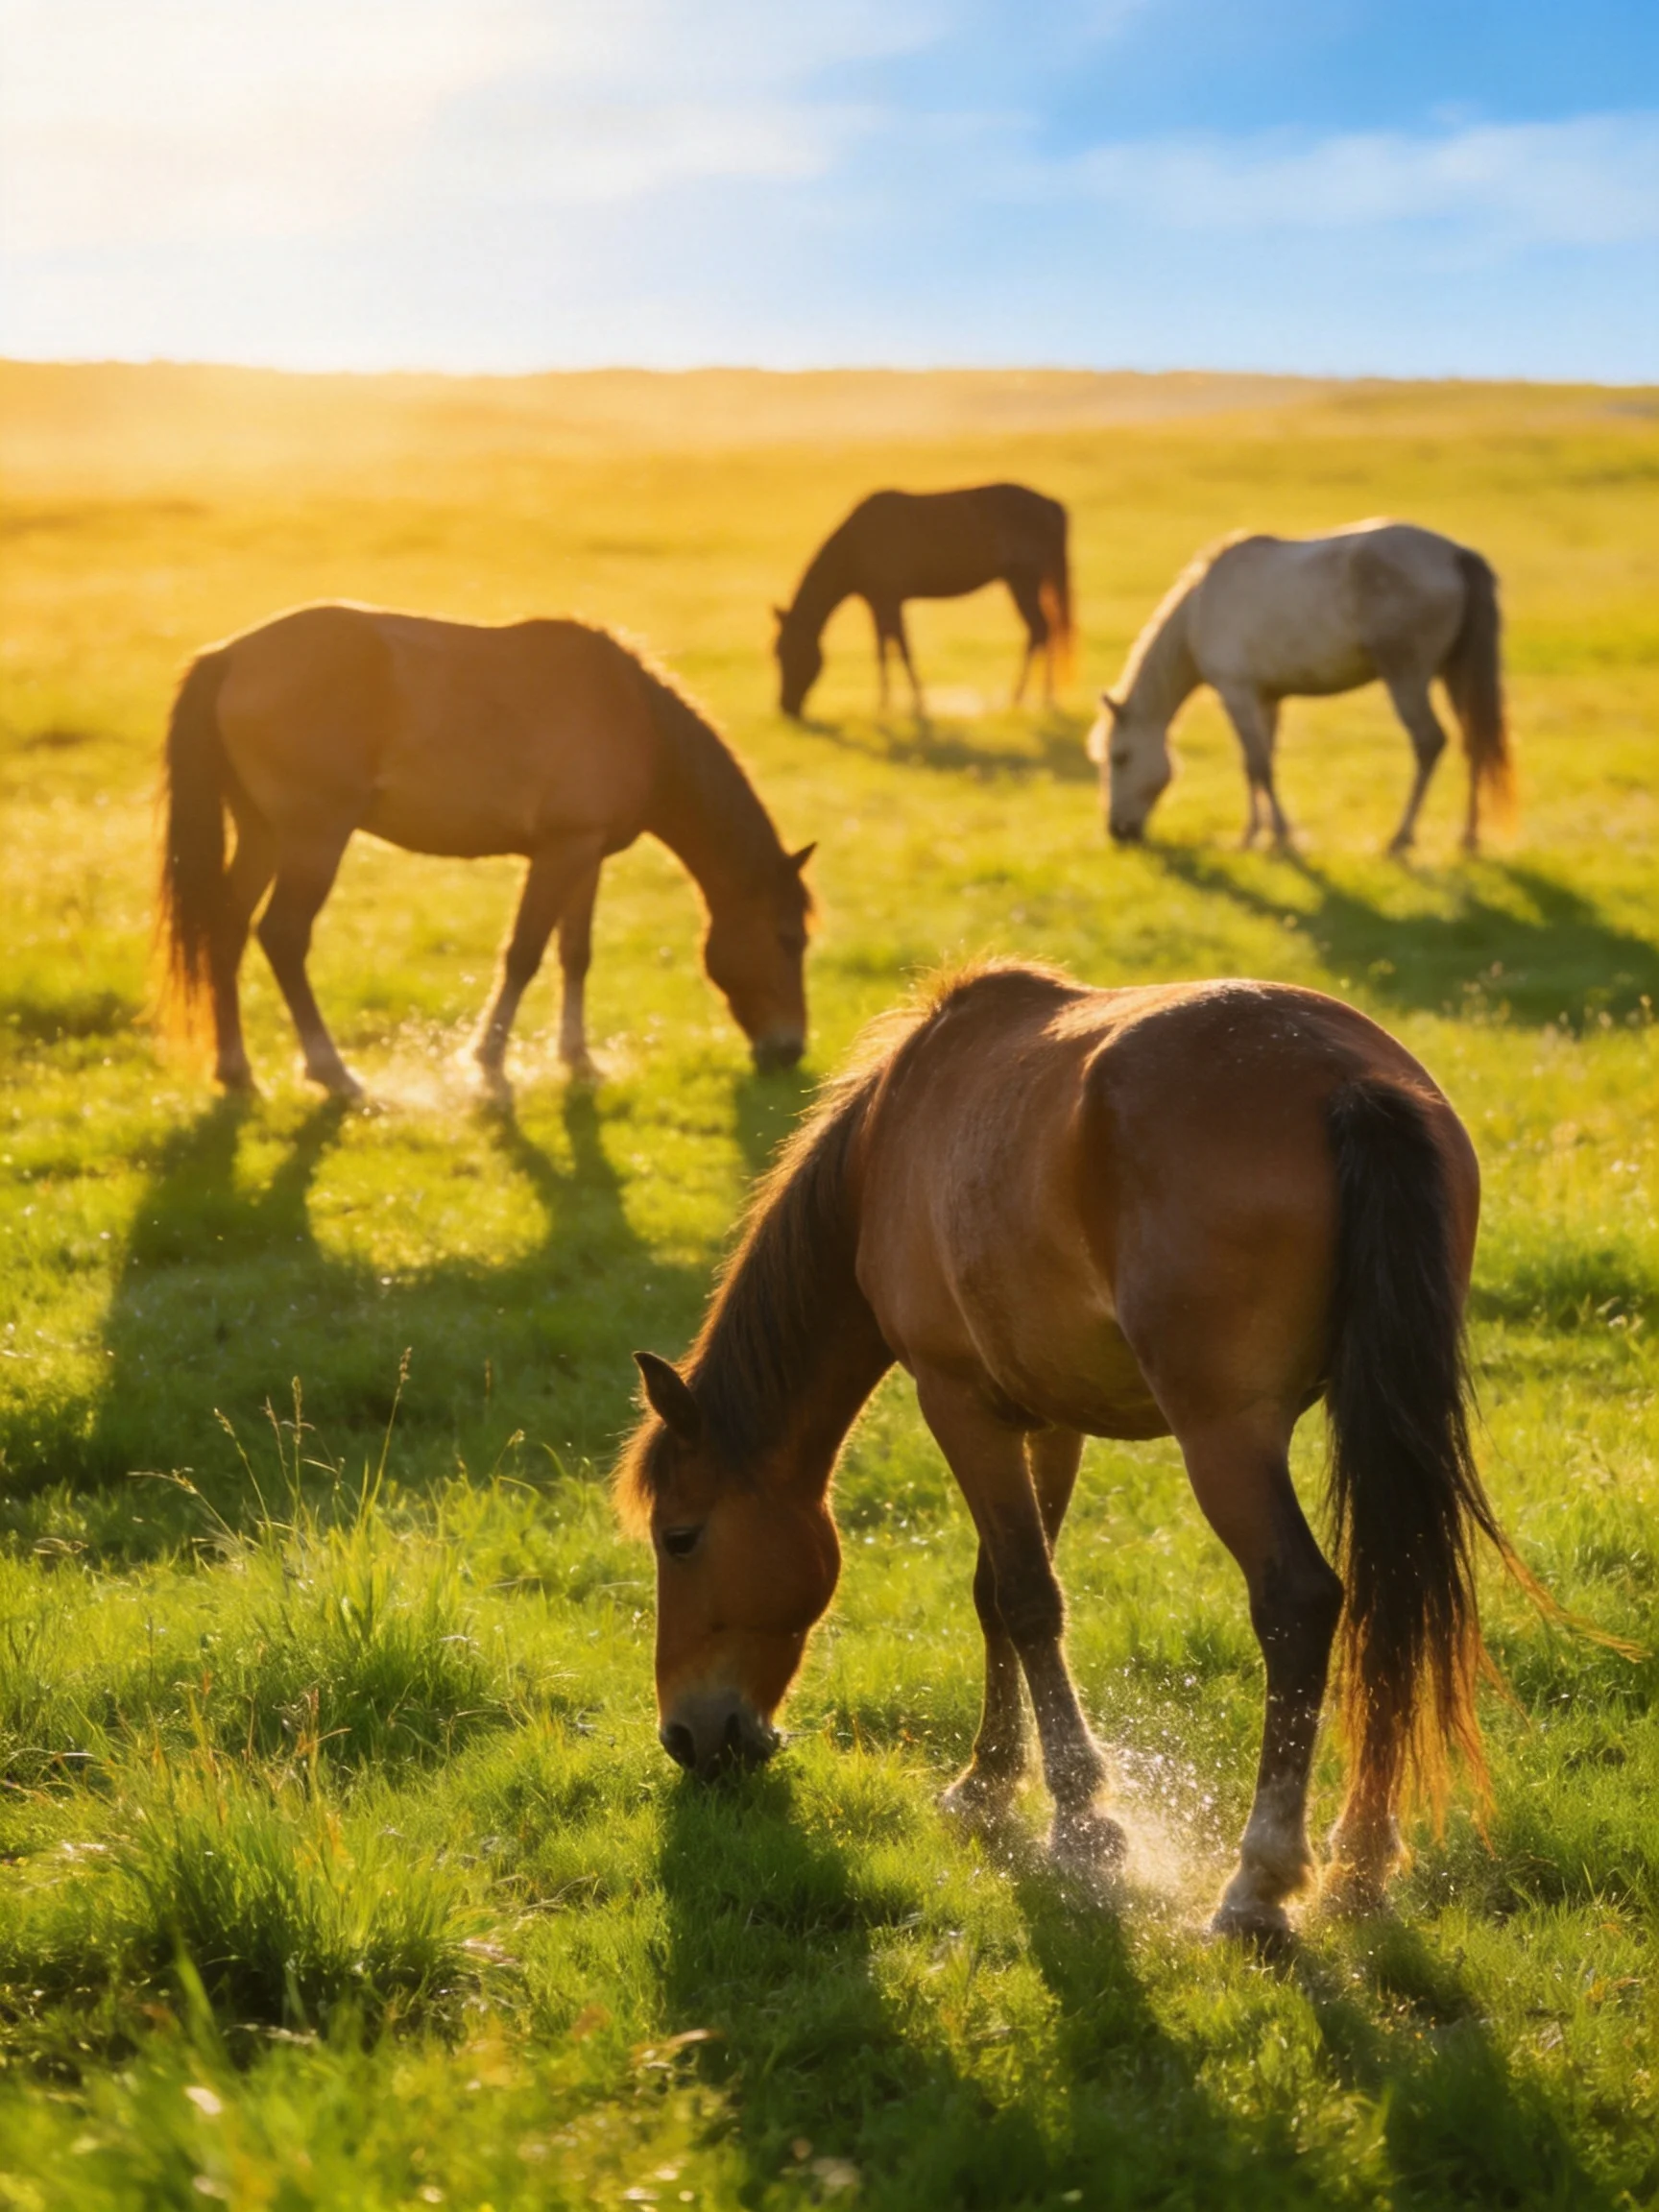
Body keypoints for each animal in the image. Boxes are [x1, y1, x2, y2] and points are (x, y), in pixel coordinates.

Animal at [158, 604, 816, 1096]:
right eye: (788, 938)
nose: (790, 1049)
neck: (637, 720)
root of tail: (231, 656)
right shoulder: (560, 851)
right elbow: (523, 953)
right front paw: (489, 1062)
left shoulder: (586, 855)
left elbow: (575, 954)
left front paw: (577, 1059)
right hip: (314, 839)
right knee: (283, 937)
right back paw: (332, 1072)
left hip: (263, 835)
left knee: (226, 928)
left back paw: (235, 1069)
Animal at [619, 960, 1522, 1944]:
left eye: (679, 1538)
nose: (685, 1737)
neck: (889, 1146)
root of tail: (1344, 1081)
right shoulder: (1049, 1420)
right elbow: (999, 1592)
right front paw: (989, 1780)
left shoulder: (958, 1404)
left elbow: (1024, 1596)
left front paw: (1082, 1815)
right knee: (1391, 1599)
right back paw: (1359, 1863)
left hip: (1225, 1438)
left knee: (1300, 1603)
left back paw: (1260, 1882)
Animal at [774, 484, 1073, 721]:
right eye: (777, 653)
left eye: (788, 653)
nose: (786, 707)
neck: (855, 548)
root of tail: (1051, 505)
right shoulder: (877, 602)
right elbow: (883, 649)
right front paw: (884, 705)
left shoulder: (890, 599)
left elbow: (902, 648)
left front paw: (916, 705)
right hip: (1027, 582)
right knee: (1045, 630)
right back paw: (1041, 699)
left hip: (1023, 580)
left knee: (1040, 630)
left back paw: (1026, 699)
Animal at [1088, 521, 1513, 854]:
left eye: (1120, 757)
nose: (1117, 831)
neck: (1200, 611)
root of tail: (1454, 554)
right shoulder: (1266, 698)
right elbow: (1256, 764)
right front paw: (1253, 836)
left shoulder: (1236, 693)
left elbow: (1259, 764)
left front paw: (1279, 837)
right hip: (1455, 674)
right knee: (1475, 742)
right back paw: (1468, 839)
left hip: (1407, 678)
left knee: (1429, 742)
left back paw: (1401, 840)